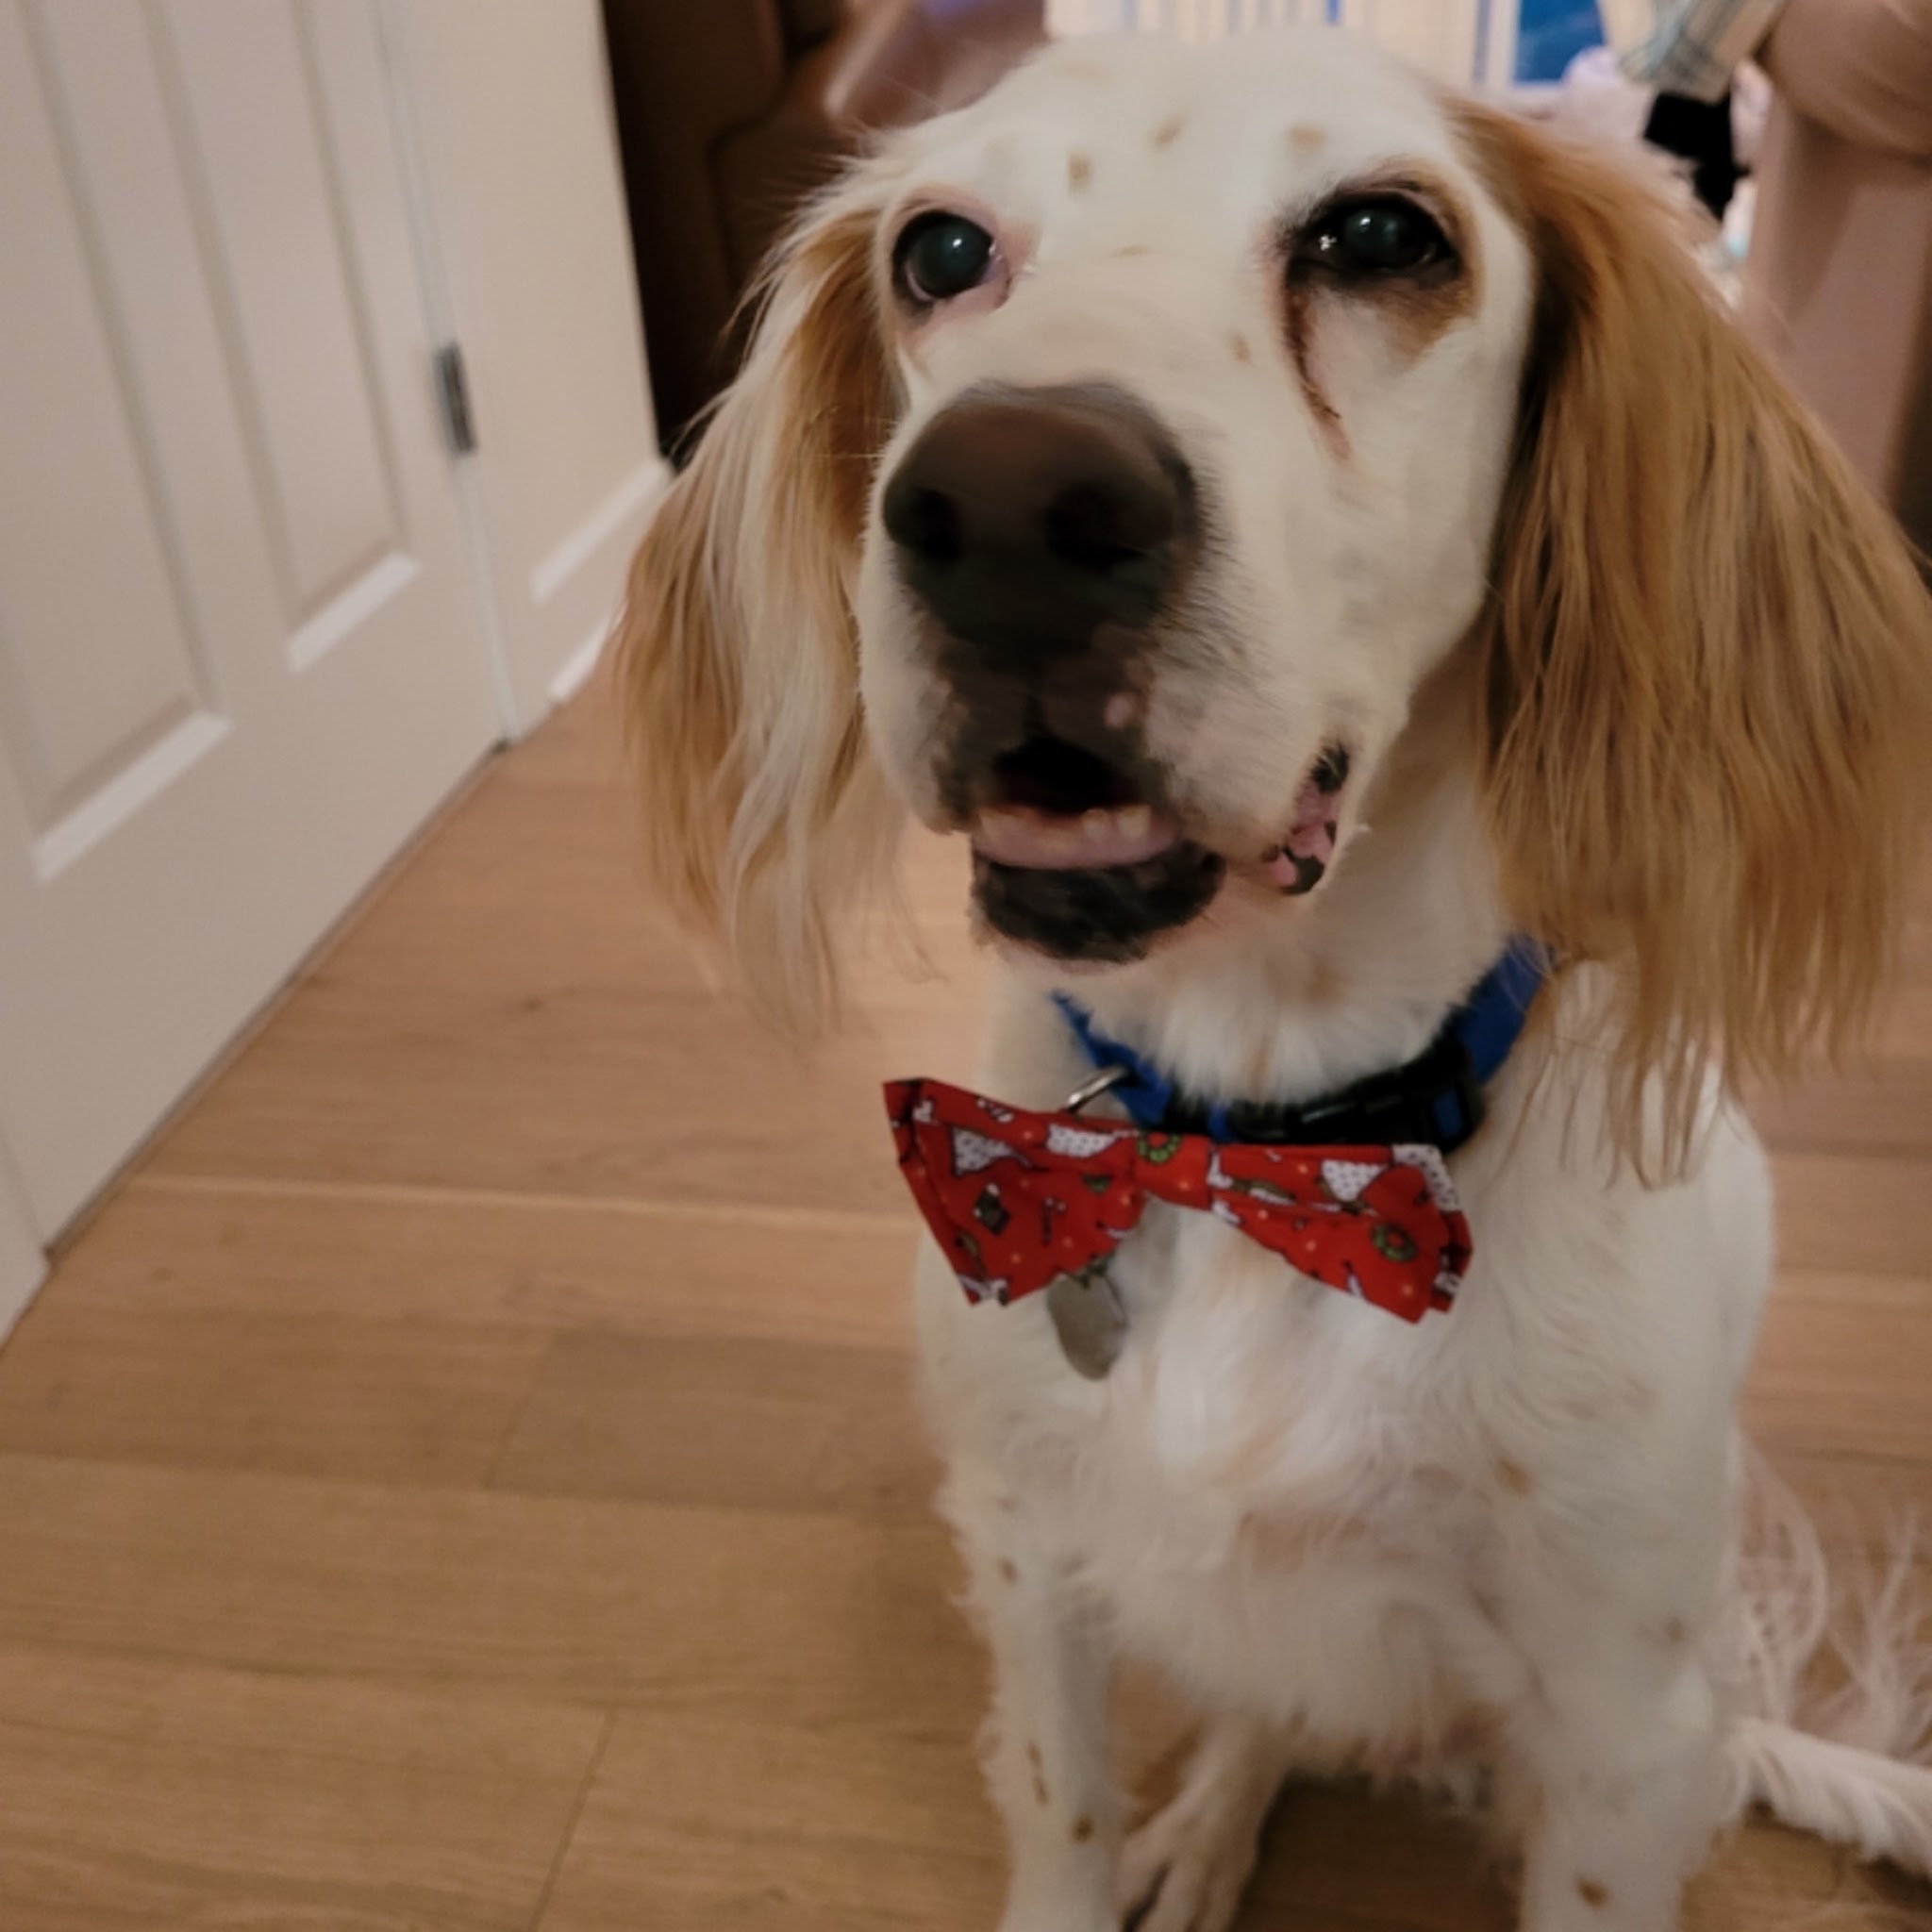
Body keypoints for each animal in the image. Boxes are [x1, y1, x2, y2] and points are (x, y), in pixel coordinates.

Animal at [617, 27, 1932, 1932]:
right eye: (939, 250)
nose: (1001, 505)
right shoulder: (1026, 1554)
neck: (1260, 1140)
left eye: (1380, 235)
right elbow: (1060, 1823)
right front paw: (1130, 1846)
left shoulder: (1620, 1732)